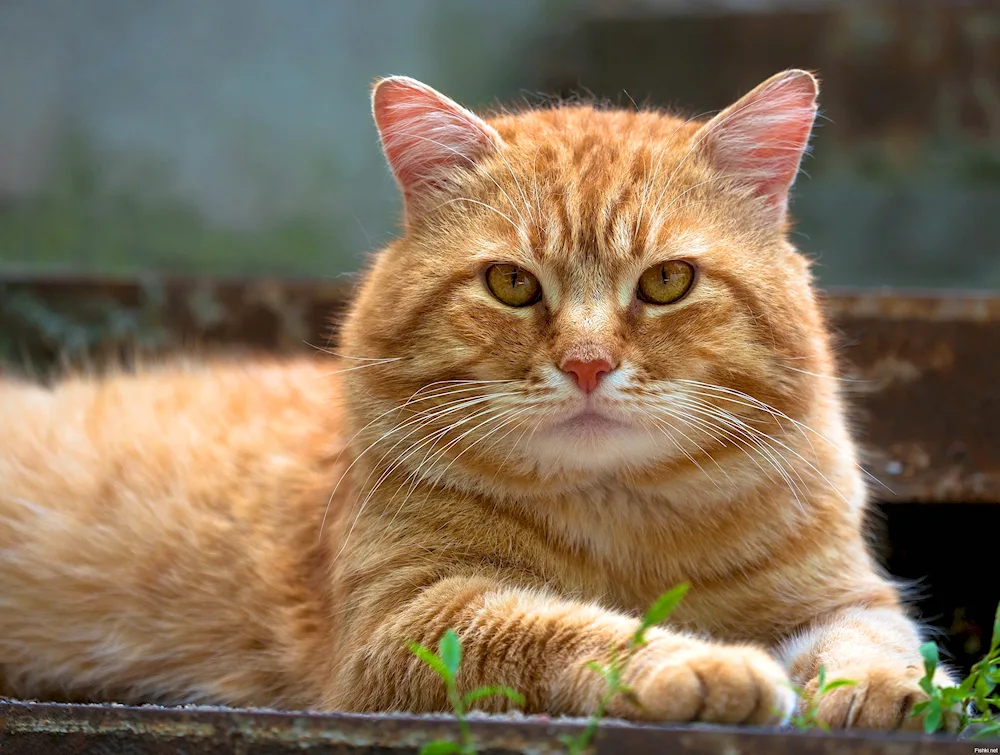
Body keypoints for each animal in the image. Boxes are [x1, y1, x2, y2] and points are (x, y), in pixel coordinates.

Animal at [0, 72, 952, 732]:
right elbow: (566, 628)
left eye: (667, 282)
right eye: (511, 285)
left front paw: (893, 689)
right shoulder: (408, 623)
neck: (620, 521)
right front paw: (704, 666)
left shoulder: (841, 594)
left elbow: (874, 640)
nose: (587, 363)